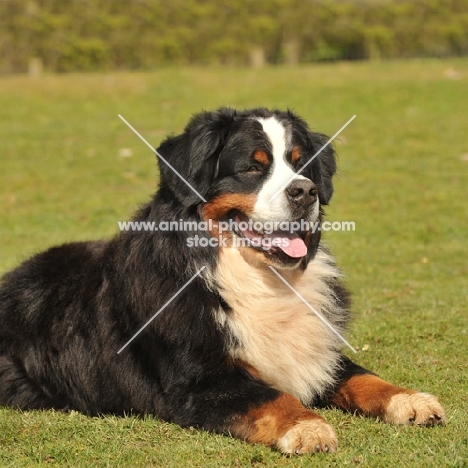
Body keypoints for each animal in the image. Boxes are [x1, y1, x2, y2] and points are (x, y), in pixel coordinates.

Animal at [0, 108, 446, 452]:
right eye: (252, 166)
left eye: (301, 164)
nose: (306, 191)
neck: (259, 280)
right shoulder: (199, 380)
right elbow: (273, 395)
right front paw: (307, 427)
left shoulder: (319, 352)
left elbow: (363, 376)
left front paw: (410, 400)